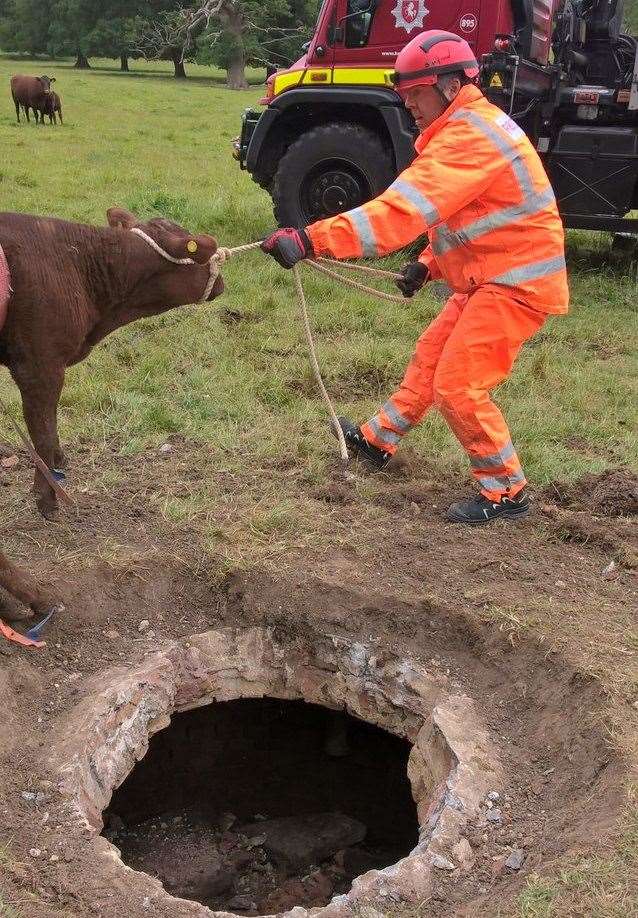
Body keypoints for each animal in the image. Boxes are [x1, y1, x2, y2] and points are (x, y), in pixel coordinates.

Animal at [0, 211, 225, 520]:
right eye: (198, 256)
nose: (222, 281)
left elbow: (50, 427)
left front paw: (59, 462)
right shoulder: (39, 366)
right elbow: (43, 433)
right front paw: (47, 498)